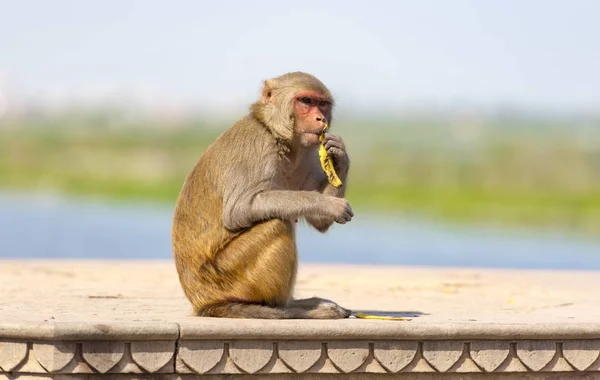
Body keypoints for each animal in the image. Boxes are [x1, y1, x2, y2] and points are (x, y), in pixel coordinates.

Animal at [171, 70, 354, 318]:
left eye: (322, 104)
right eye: (306, 101)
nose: (320, 119)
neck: (277, 134)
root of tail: (202, 302)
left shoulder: (307, 152)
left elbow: (319, 221)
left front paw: (340, 154)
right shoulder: (258, 145)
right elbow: (239, 209)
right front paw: (327, 204)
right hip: (227, 277)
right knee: (277, 223)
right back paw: (291, 310)